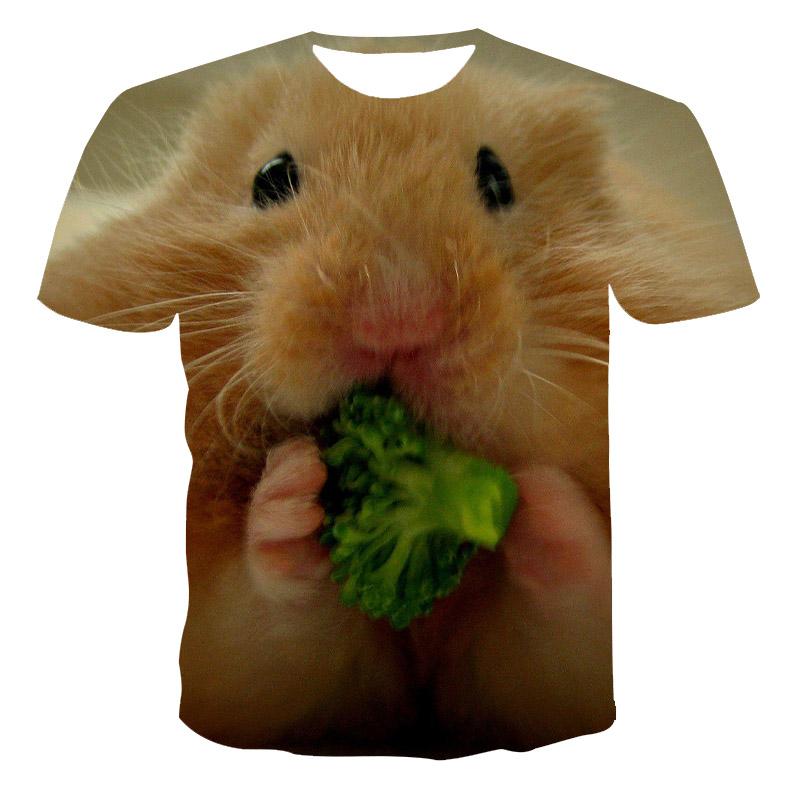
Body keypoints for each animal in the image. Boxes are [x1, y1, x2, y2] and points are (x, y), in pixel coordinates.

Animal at [39, 55, 754, 755]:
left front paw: (540, 501)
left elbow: (568, 620)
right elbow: (269, 622)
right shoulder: (244, 666)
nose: (396, 319)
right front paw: (292, 489)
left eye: (497, 179)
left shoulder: (537, 678)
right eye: (271, 178)